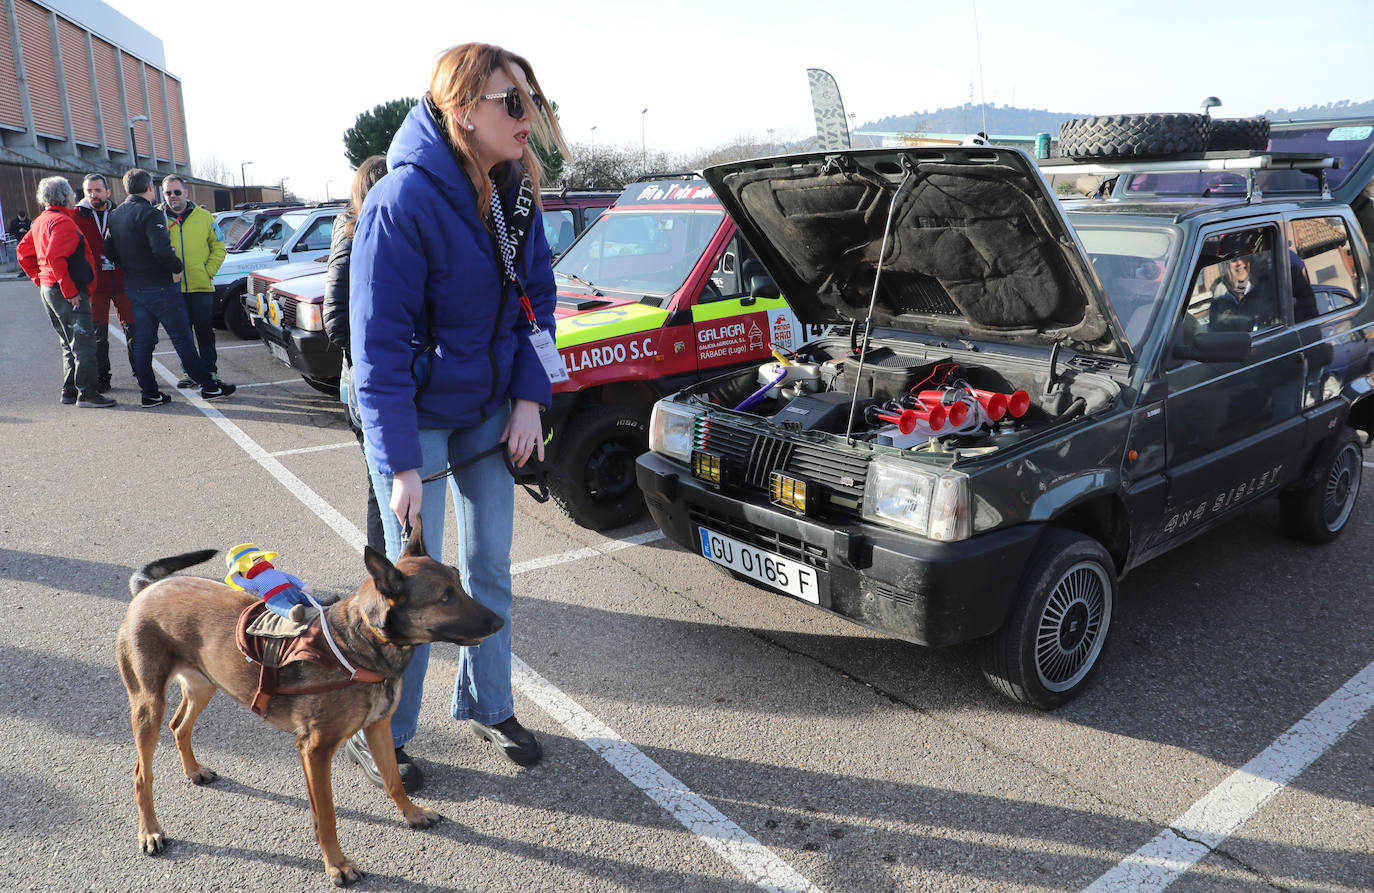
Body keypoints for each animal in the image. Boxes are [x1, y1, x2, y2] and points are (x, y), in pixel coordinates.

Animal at [112, 513, 500, 884]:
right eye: (445, 596)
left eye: (459, 584)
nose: (499, 621)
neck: (361, 642)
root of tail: (148, 589)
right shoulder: (315, 751)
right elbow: (326, 815)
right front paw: (337, 865)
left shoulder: (378, 727)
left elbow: (393, 780)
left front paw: (412, 813)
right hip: (148, 705)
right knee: (141, 773)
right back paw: (150, 831)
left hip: (205, 683)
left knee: (179, 726)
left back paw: (193, 770)